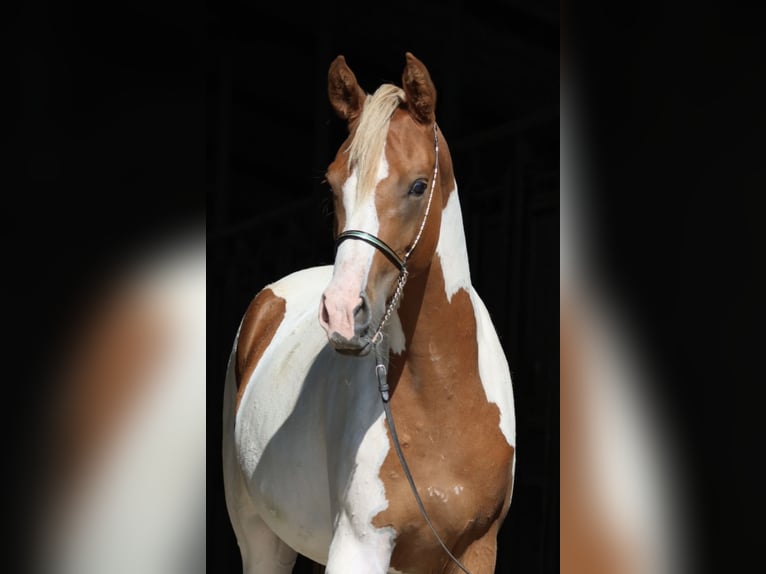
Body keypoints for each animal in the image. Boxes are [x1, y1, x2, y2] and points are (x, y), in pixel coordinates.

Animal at [225, 51, 520, 572]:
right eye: (332, 186)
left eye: (419, 186)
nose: (343, 313)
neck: (444, 398)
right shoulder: (359, 546)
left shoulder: (478, 549)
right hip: (260, 537)